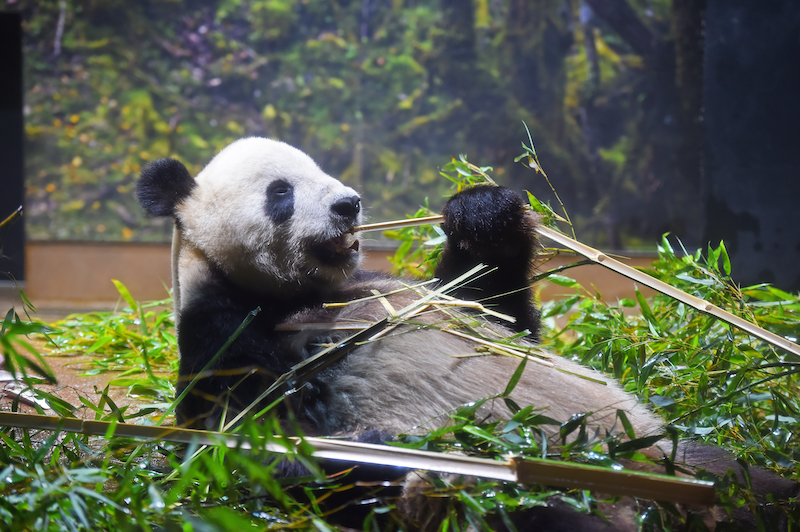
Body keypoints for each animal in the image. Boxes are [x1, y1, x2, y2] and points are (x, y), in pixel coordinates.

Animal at [136, 138, 792, 532]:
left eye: (323, 170)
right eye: (281, 192)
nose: (349, 205)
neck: (294, 294)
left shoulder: (391, 289)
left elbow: (497, 312)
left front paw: (482, 213)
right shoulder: (222, 332)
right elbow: (247, 439)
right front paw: (378, 454)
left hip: (677, 456)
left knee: (755, 484)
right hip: (524, 500)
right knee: (541, 514)